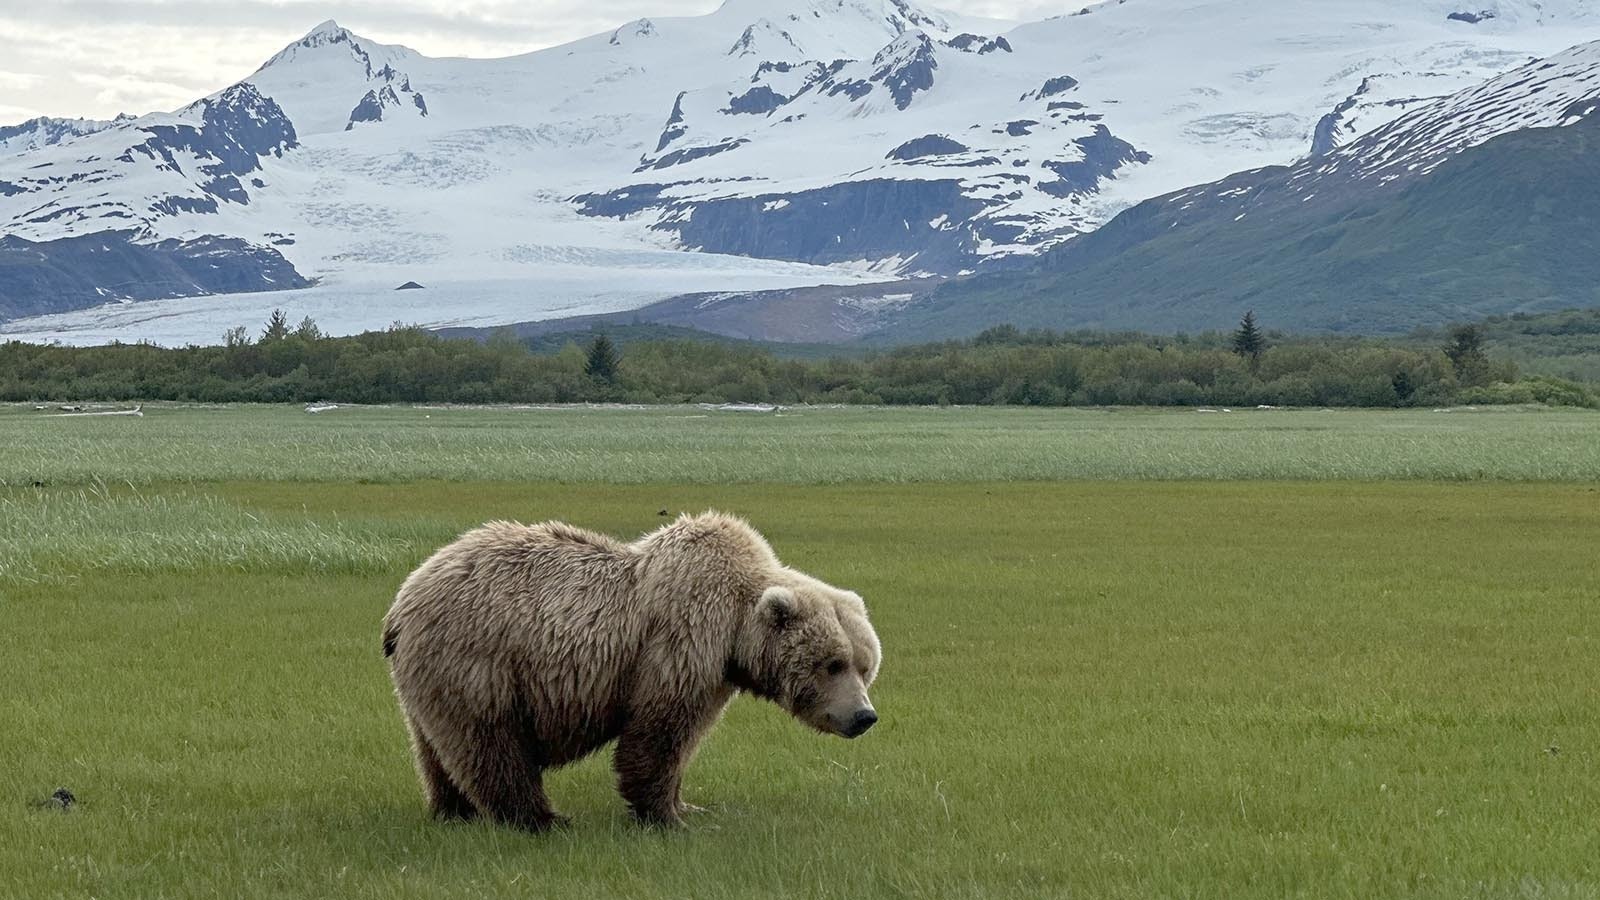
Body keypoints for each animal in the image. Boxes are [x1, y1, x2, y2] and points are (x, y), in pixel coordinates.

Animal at [384, 512, 889, 826]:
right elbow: (660, 731)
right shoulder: (681, 639)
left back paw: (453, 810)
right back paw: (541, 818)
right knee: (491, 741)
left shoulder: (715, 671)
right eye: (833, 664)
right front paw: (664, 814)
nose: (864, 716)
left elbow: (684, 739)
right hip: (479, 659)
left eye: (866, 666)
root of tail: (403, 599)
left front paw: (687, 805)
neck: (735, 629)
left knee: (436, 748)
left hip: (431, 677)